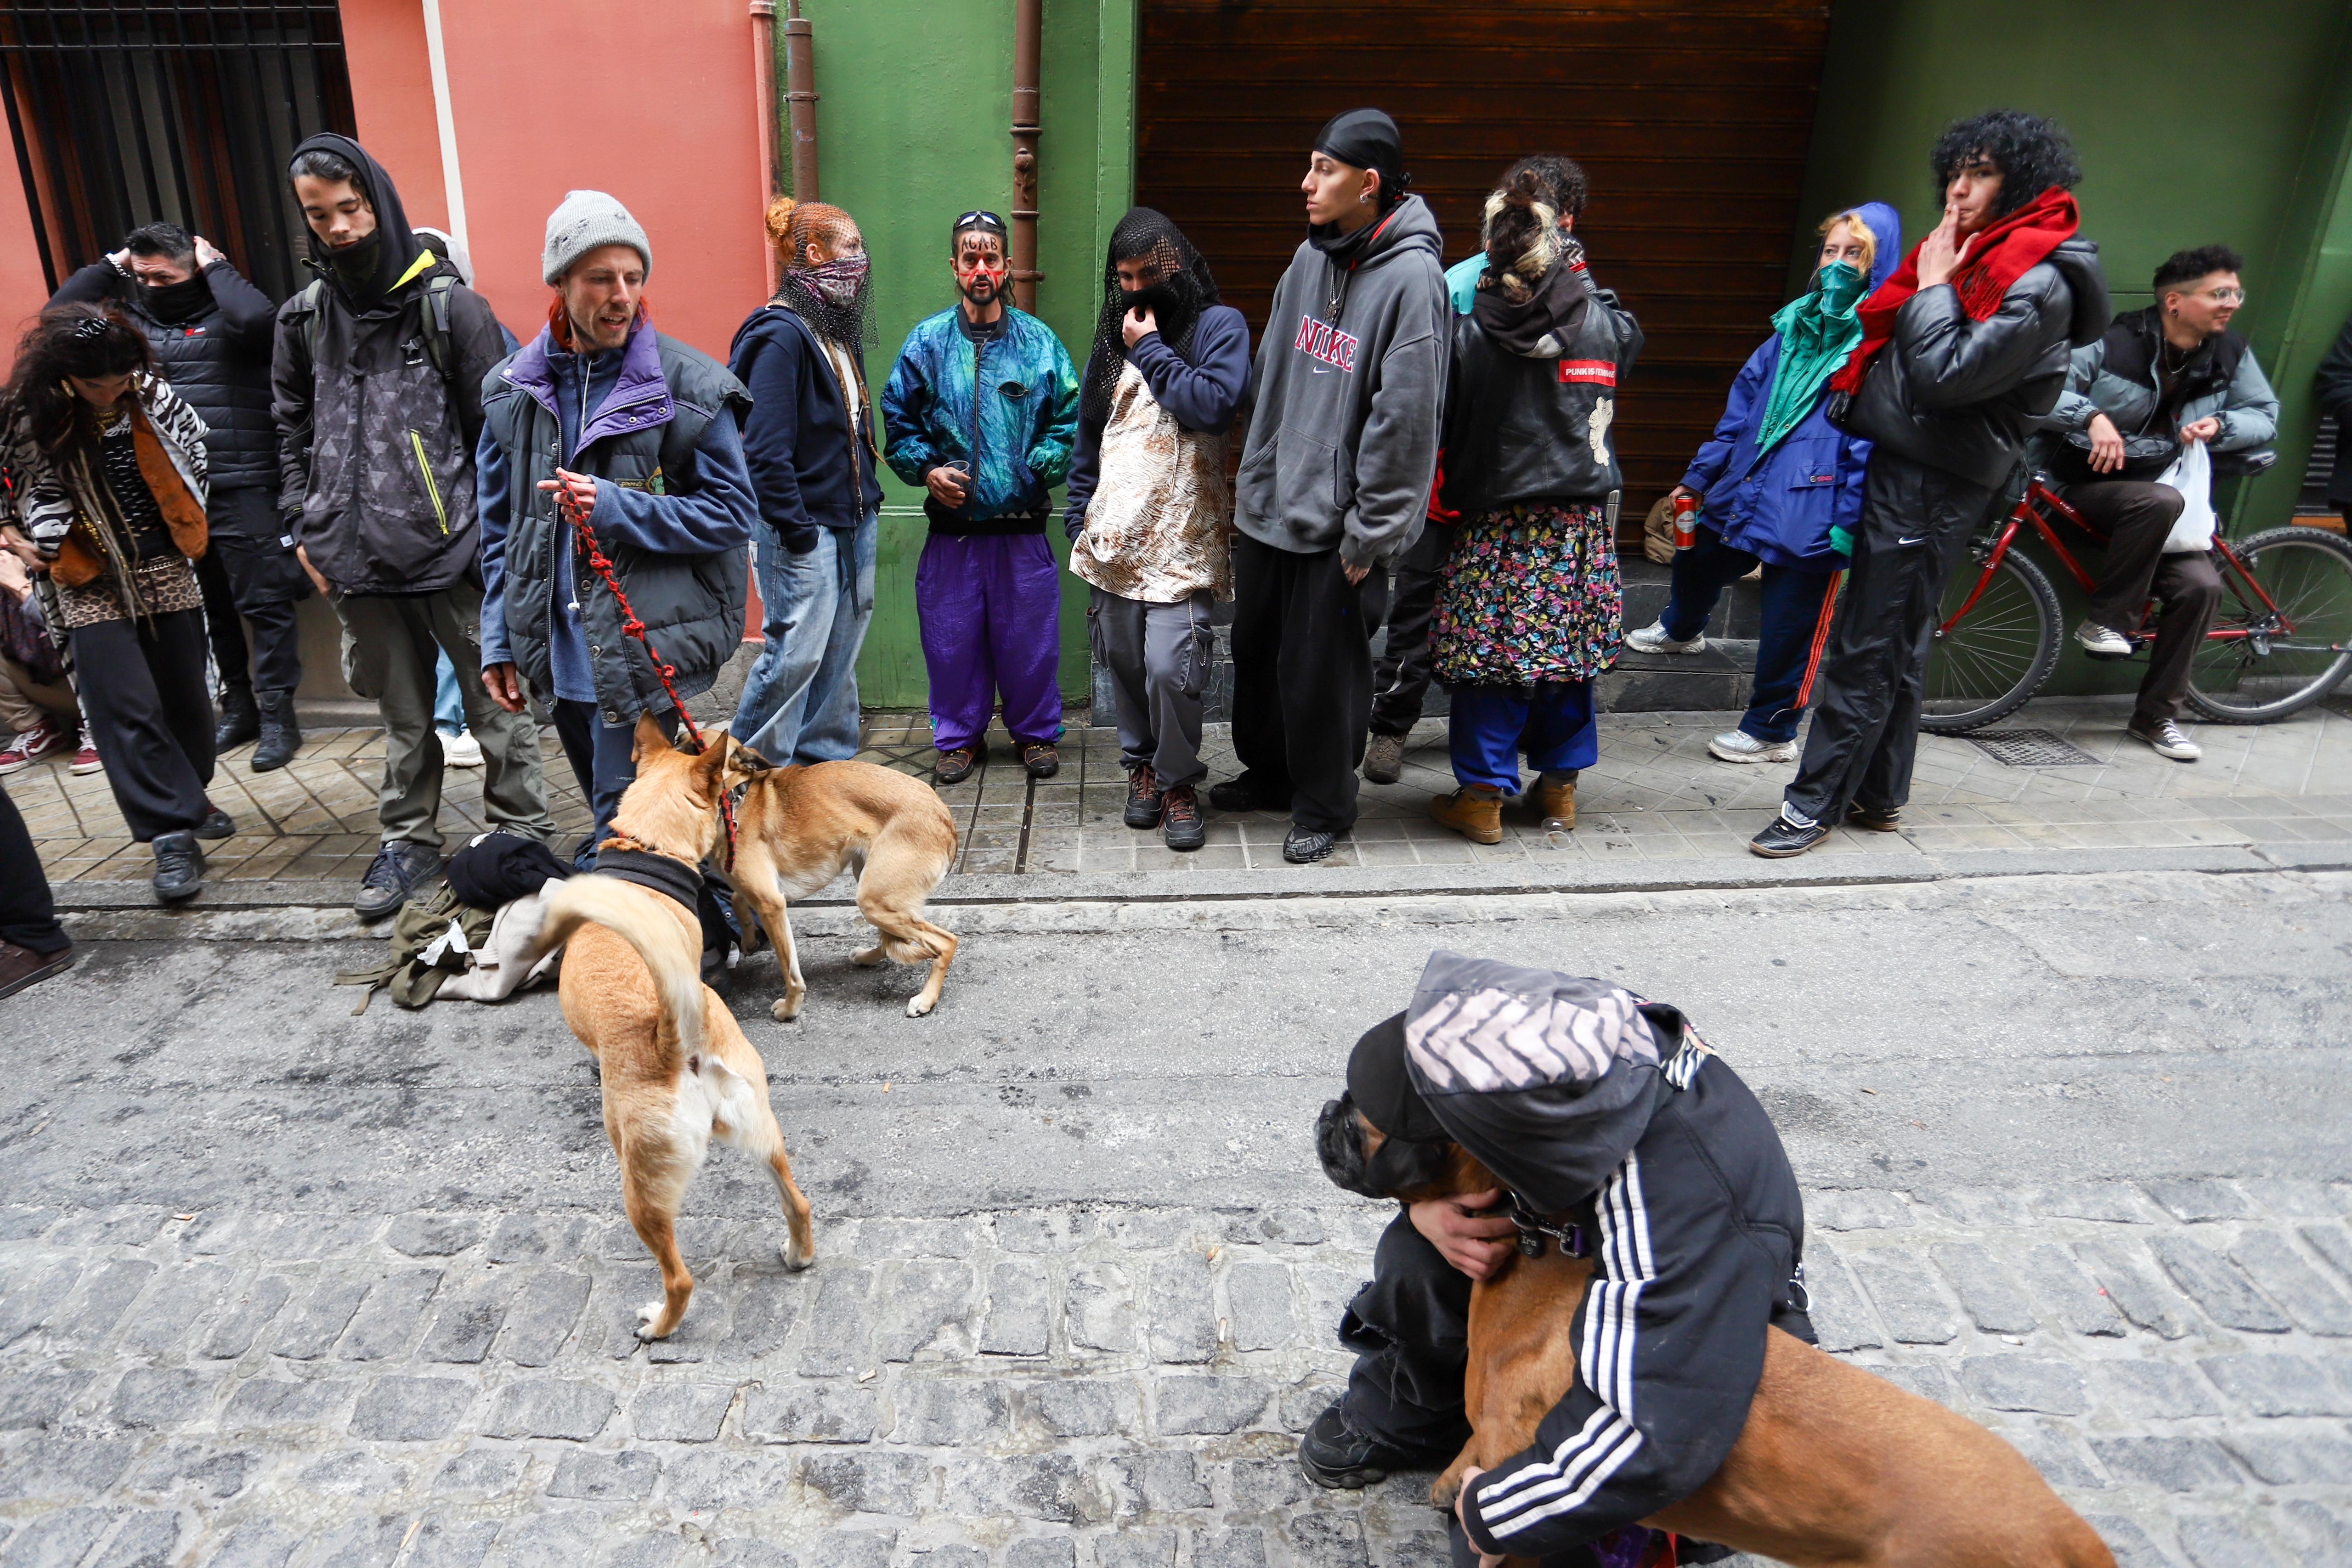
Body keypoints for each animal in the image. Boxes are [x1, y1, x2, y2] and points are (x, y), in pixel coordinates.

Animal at [524, 719, 818, 1344]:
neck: (648, 849)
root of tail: (675, 1039)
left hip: (640, 1187)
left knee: (679, 1278)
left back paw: (658, 1326)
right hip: (761, 1130)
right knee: (799, 1203)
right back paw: (798, 1254)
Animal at [724, 747, 964, 1025]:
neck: (737, 794)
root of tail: (945, 819)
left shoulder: (771, 904)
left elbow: (791, 973)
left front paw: (789, 1009)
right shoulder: (761, 890)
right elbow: (736, 897)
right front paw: (749, 939)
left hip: (874, 901)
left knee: (945, 943)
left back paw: (926, 998)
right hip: (873, 884)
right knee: (895, 940)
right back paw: (867, 957)